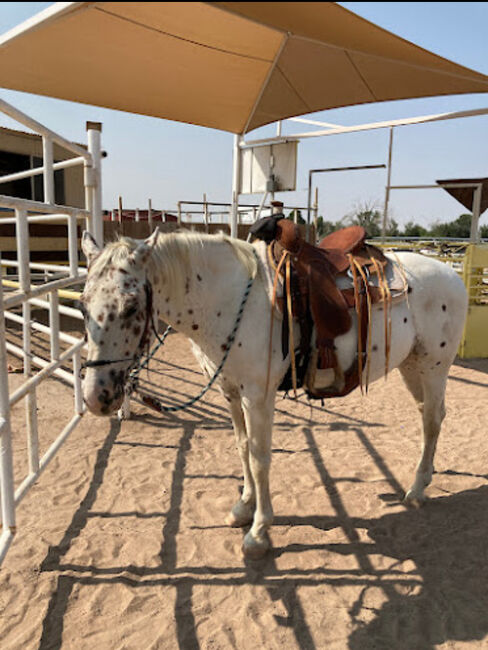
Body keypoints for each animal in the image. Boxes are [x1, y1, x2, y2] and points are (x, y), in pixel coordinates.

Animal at [80, 228, 468, 556]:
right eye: (83, 304)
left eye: (131, 306)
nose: (96, 396)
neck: (229, 298)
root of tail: (453, 275)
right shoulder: (230, 391)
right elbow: (242, 447)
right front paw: (243, 506)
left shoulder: (258, 396)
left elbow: (260, 458)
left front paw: (259, 531)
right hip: (411, 366)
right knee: (427, 416)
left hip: (434, 367)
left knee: (433, 420)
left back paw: (416, 489)